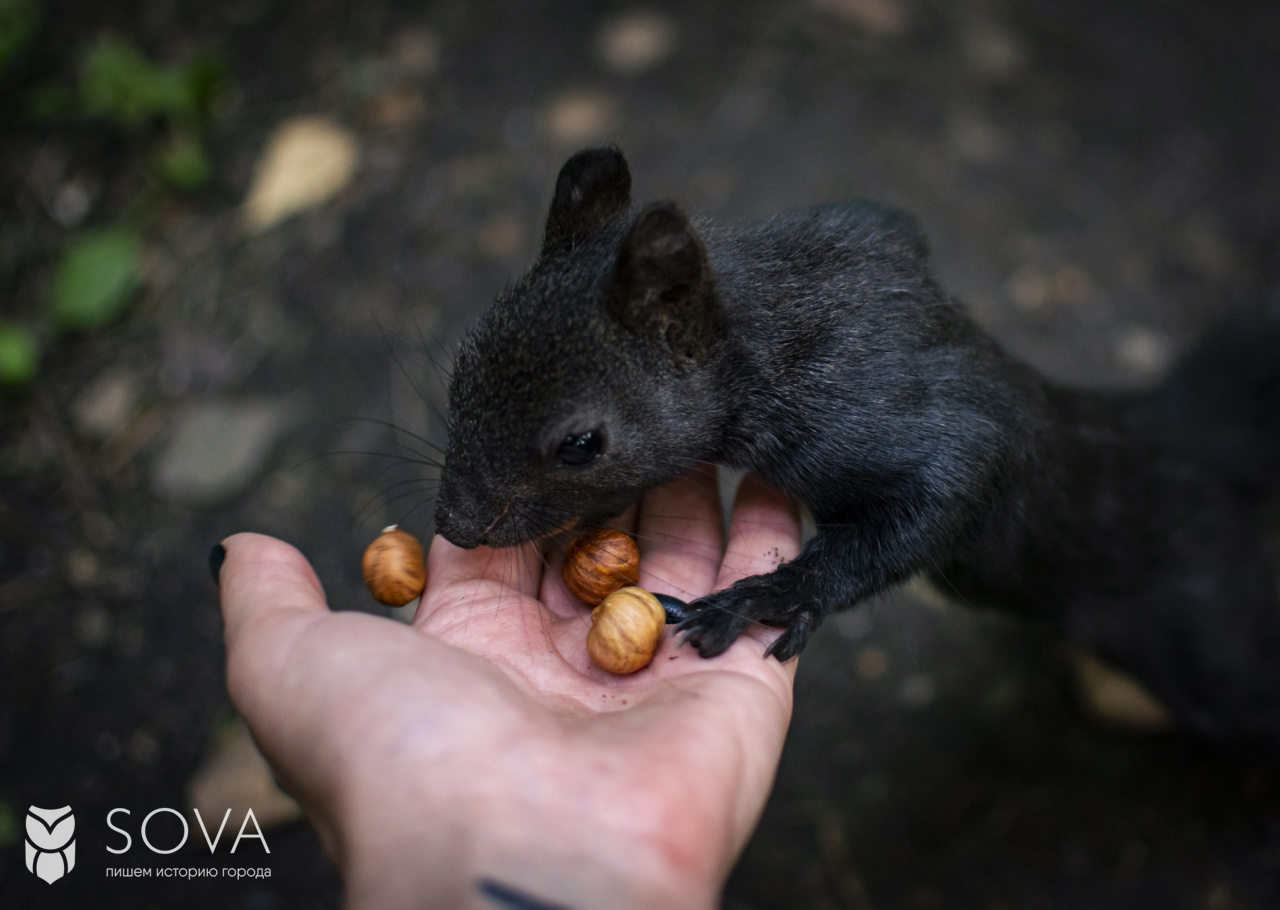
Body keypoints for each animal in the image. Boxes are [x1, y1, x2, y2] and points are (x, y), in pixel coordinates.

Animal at [435, 145, 1280, 752]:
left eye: (581, 443)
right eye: (461, 362)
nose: (454, 525)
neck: (766, 332)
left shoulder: (893, 411)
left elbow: (951, 484)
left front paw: (769, 596)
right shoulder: (868, 226)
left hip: (1216, 652)